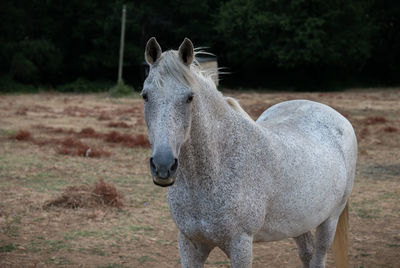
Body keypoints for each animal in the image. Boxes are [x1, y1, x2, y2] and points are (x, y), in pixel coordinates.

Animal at [141, 37, 356, 268]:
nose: (163, 166)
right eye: (145, 96)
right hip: (300, 222)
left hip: (329, 220)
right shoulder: (189, 243)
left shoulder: (240, 244)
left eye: (190, 97)